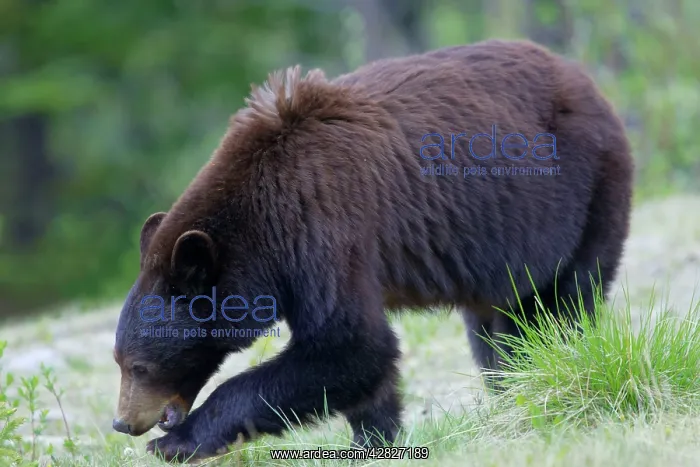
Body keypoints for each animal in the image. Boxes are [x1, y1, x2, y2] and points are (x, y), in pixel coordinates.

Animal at [112, 39, 633, 462]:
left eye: (140, 365)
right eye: (119, 360)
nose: (123, 422)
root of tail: (583, 78)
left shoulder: (323, 228)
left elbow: (350, 345)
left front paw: (176, 443)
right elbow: (361, 365)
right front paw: (375, 439)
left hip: (585, 191)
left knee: (566, 297)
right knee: (496, 326)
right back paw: (513, 385)